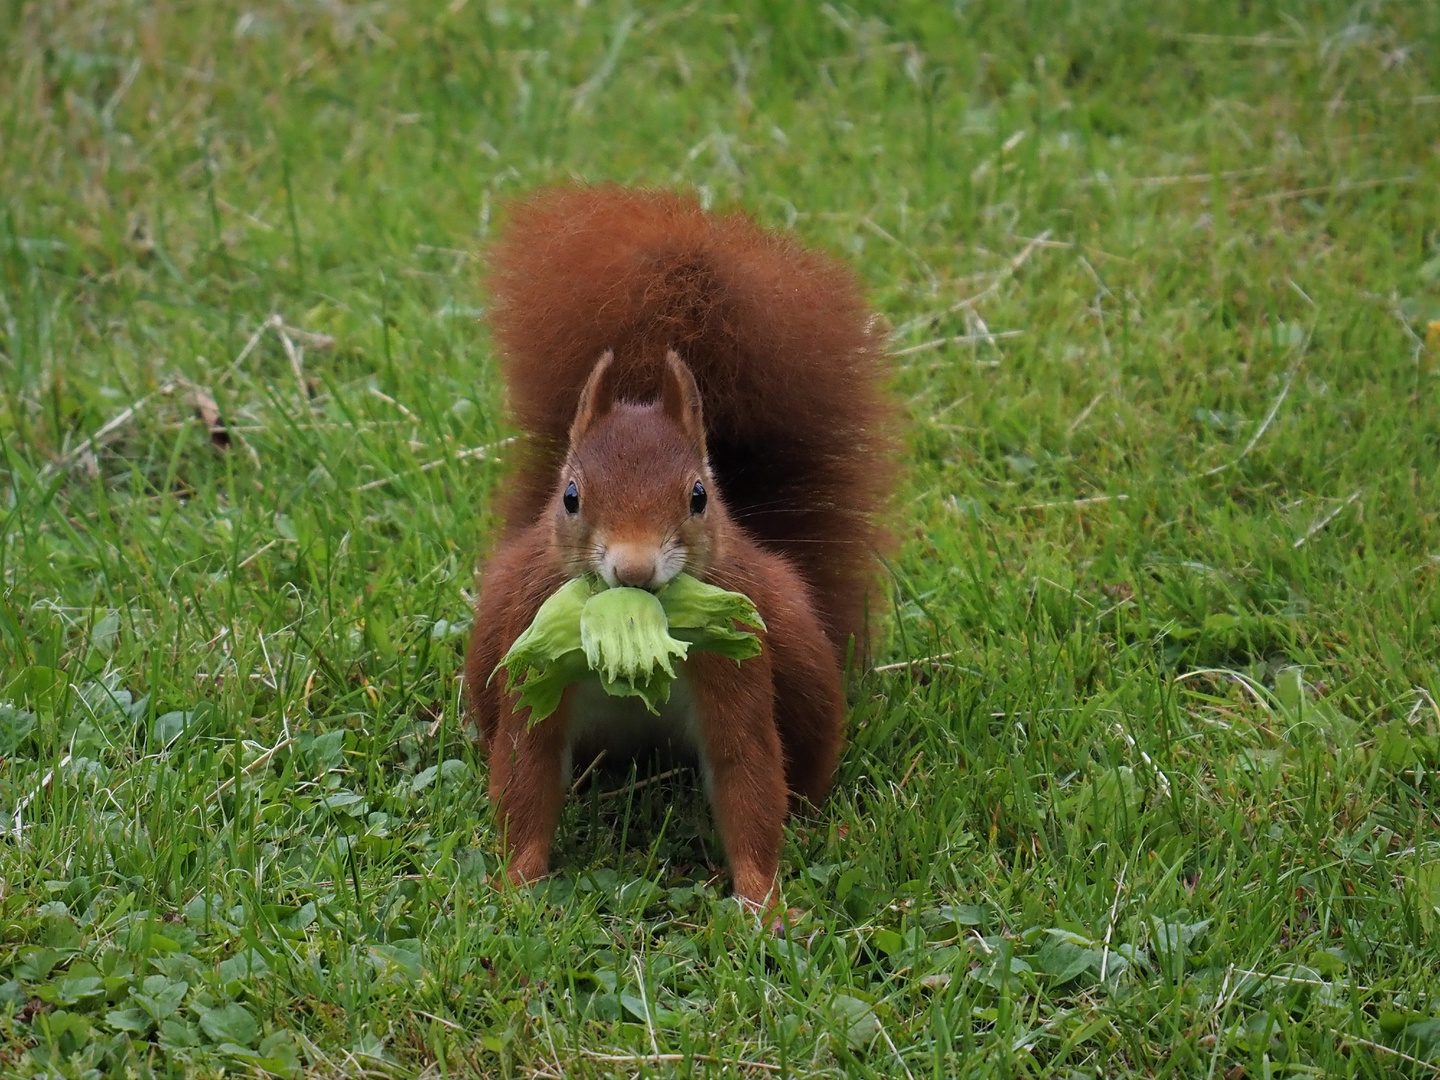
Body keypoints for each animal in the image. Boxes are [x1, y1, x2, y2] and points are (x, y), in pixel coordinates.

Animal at [466, 185, 892, 915]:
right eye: (571, 496)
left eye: (698, 496)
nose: (634, 568)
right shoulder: (530, 655)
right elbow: (526, 771)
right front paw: (517, 887)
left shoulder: (736, 664)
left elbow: (746, 770)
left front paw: (762, 902)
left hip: (800, 657)